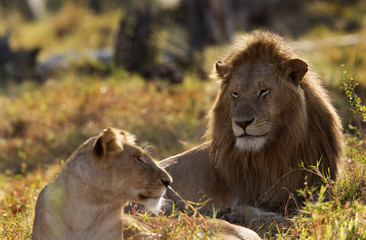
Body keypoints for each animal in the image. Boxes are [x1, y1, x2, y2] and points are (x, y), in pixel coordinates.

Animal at [160, 30, 344, 225]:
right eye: (235, 93)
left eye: (264, 91)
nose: (242, 123)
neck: (275, 151)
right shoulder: (244, 198)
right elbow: (256, 212)